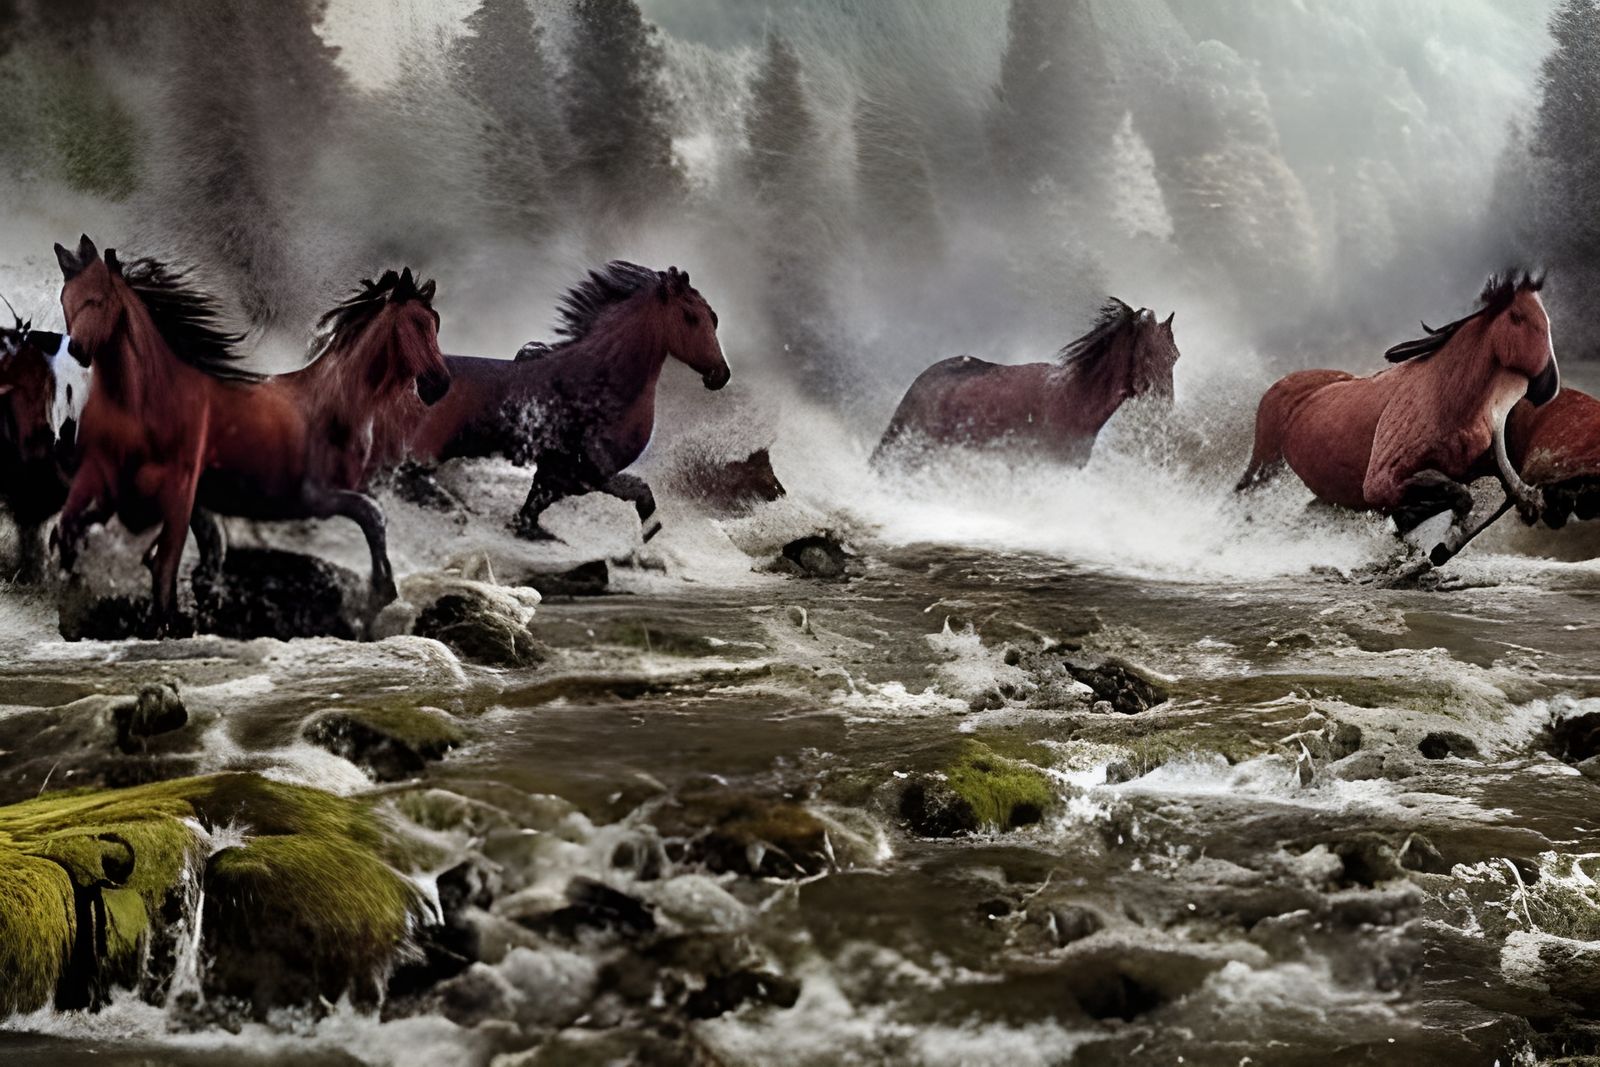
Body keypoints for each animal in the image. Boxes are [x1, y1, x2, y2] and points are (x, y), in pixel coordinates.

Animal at [52, 235, 450, 634]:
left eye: (433, 323)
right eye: (416, 323)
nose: (439, 384)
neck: (339, 402)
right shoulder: (314, 497)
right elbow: (374, 515)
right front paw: (380, 593)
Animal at [373, 261, 730, 539]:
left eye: (714, 318)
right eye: (691, 317)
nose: (720, 375)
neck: (604, 383)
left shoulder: (557, 474)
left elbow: (531, 511)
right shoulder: (584, 474)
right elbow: (640, 492)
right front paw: (649, 534)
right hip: (422, 453)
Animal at [1236, 272, 1559, 544]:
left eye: (1547, 319)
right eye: (1517, 316)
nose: (1548, 384)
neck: (1447, 400)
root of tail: (1281, 385)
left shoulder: (1476, 464)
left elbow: (1484, 486)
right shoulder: (1380, 482)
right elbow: (1457, 495)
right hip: (1265, 463)